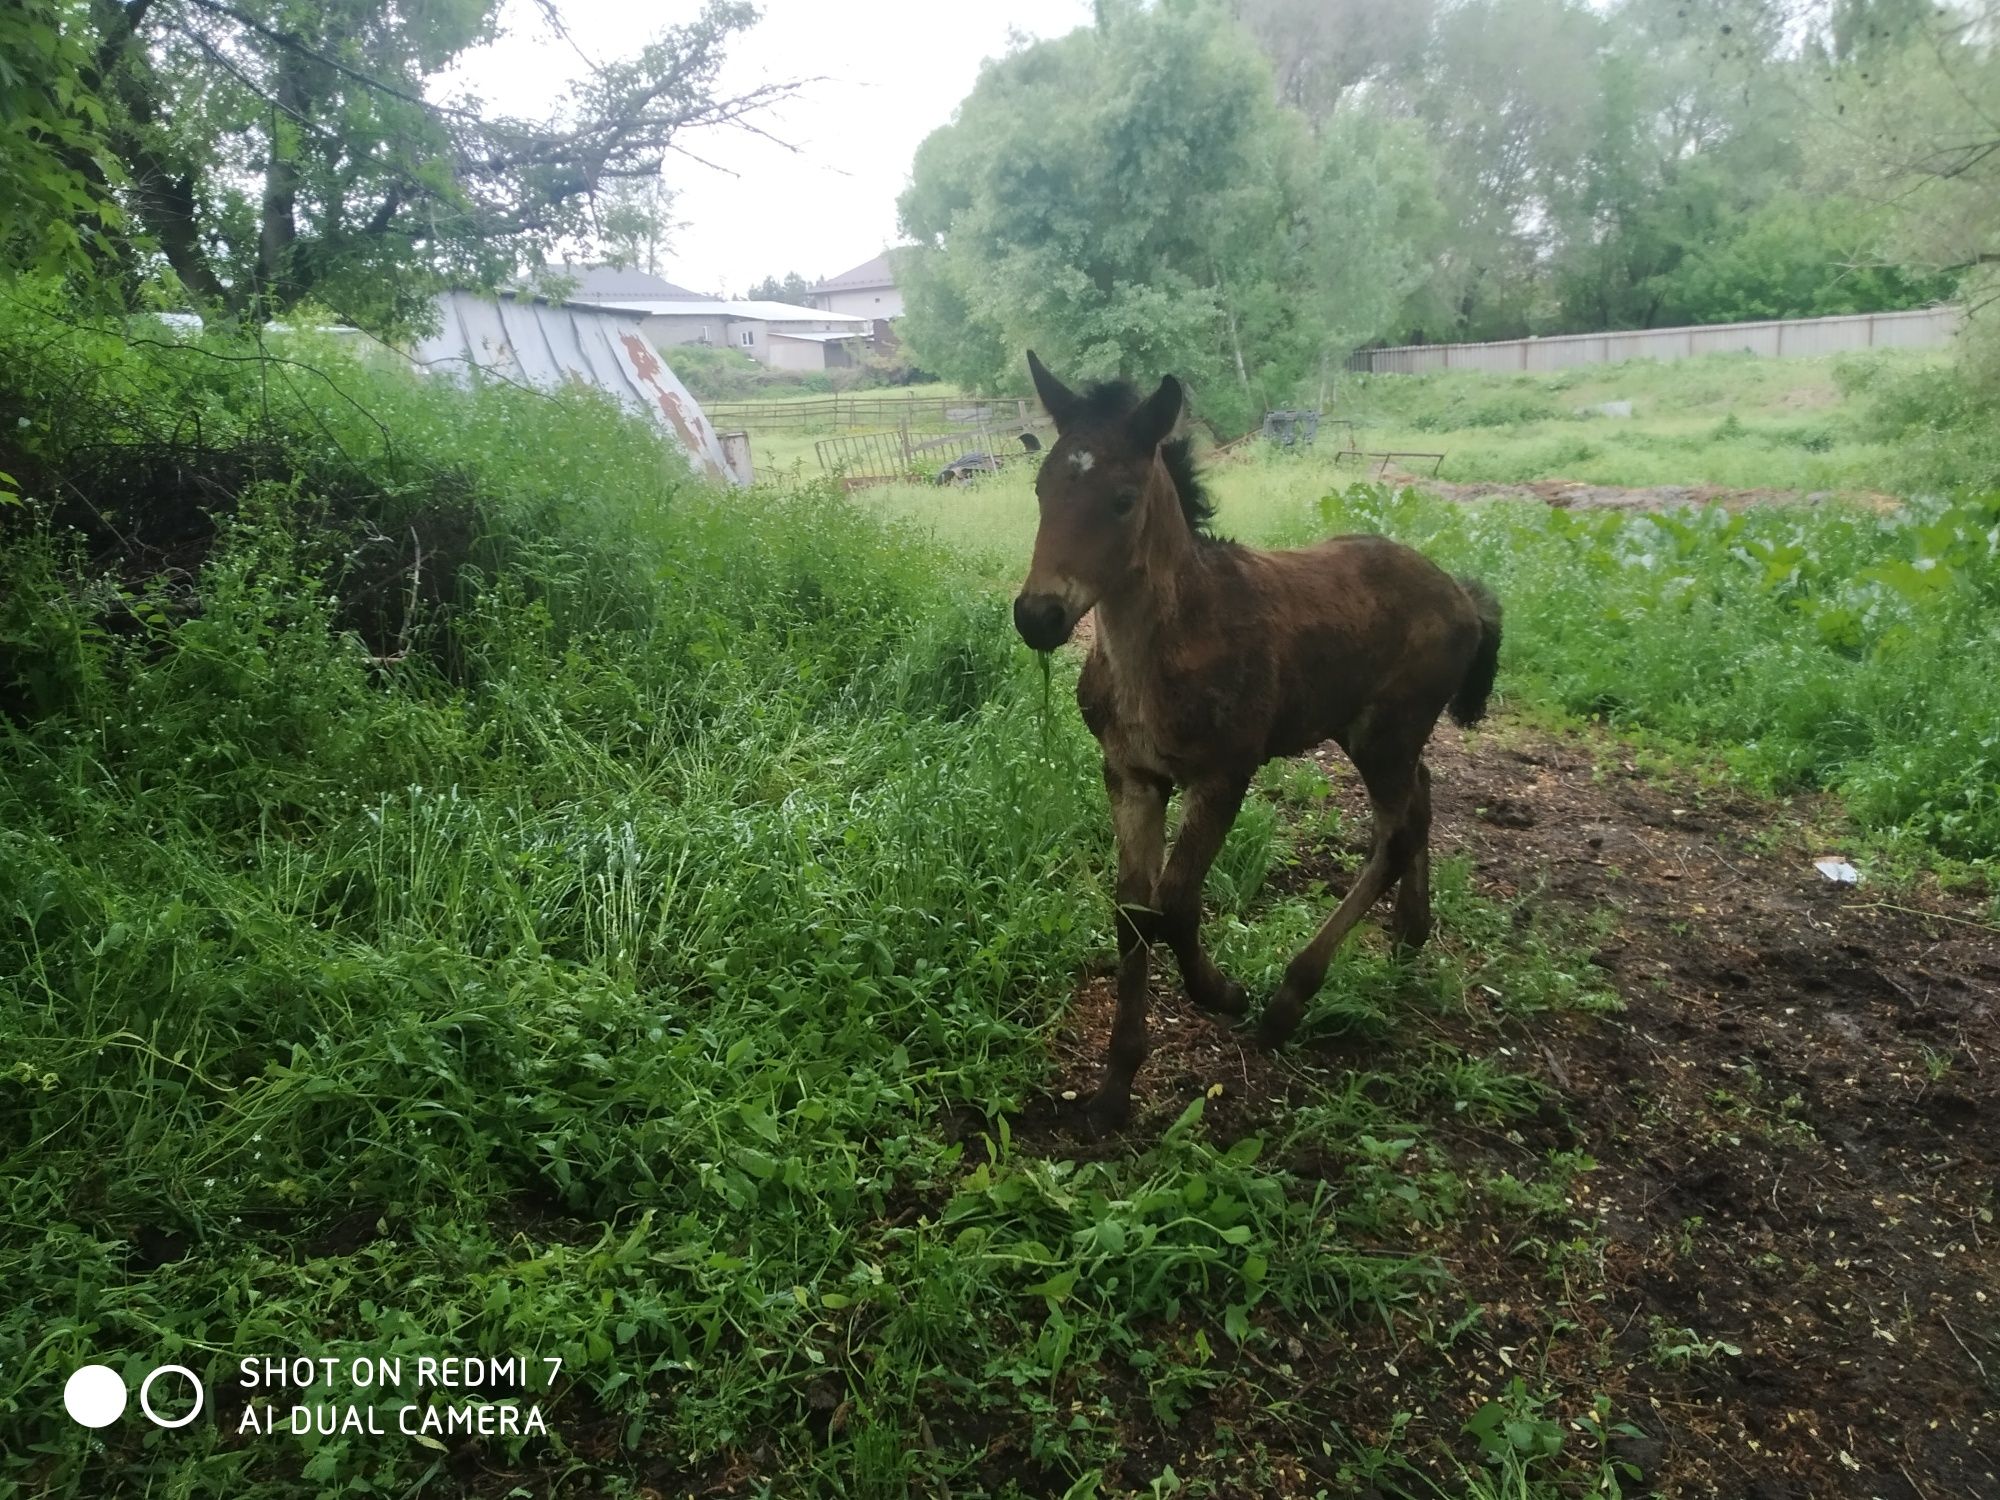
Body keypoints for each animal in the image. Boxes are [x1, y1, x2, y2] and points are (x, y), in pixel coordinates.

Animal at [1016, 352, 1504, 1136]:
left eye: (1122, 499)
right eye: (1041, 488)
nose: (1038, 616)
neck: (1163, 646)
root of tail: (1461, 594)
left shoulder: (1225, 774)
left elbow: (1177, 902)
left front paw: (1223, 993)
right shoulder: (1130, 773)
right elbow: (1134, 911)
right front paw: (1114, 1090)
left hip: (1386, 734)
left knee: (1396, 835)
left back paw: (1287, 1001)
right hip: (1374, 734)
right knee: (1419, 804)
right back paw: (1410, 933)